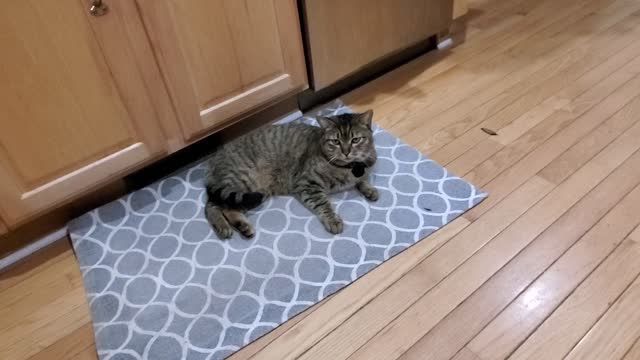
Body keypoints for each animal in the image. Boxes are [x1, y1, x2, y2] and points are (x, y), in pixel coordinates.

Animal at [204, 110, 380, 239]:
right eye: (335, 142)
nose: (346, 152)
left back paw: (242, 226)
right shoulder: (307, 183)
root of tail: (214, 157)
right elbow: (324, 204)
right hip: (243, 182)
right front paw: (333, 220)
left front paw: (369, 188)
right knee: (212, 206)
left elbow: (363, 178)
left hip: (250, 192)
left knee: (226, 207)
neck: (348, 167)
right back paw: (223, 226)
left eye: (355, 140)